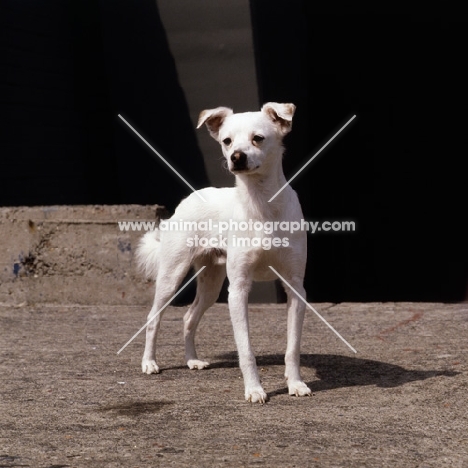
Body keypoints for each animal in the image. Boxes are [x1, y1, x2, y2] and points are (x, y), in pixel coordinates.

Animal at [136, 102, 310, 402]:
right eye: (227, 141)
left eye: (258, 138)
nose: (236, 157)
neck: (262, 206)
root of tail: (188, 199)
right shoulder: (238, 290)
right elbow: (246, 349)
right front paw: (254, 389)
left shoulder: (295, 287)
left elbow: (293, 347)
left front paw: (295, 383)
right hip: (172, 276)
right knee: (153, 318)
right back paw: (149, 362)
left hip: (211, 283)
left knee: (188, 318)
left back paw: (192, 360)